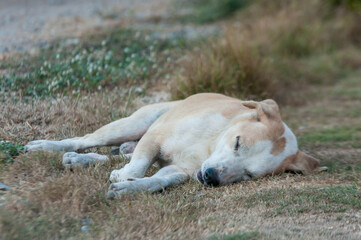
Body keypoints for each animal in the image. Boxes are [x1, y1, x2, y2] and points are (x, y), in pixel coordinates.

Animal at [24, 93, 324, 198]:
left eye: (249, 175)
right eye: (237, 143)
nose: (211, 178)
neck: (208, 146)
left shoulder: (179, 171)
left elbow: (156, 180)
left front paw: (128, 188)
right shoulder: (155, 138)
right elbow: (139, 164)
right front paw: (125, 178)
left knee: (114, 156)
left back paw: (80, 160)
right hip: (133, 125)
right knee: (85, 140)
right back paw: (44, 147)